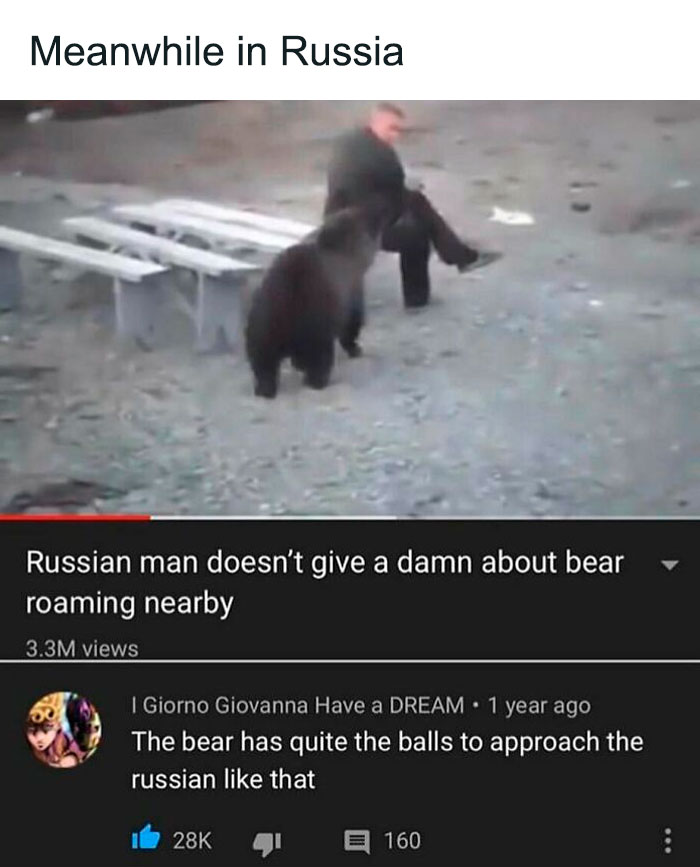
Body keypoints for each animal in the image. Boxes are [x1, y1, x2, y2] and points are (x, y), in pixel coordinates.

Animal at [245, 201, 388, 398]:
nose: (379, 212)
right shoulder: (351, 287)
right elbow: (351, 323)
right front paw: (355, 347)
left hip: (264, 316)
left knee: (262, 357)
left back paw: (264, 387)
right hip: (312, 315)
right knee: (320, 354)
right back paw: (317, 380)